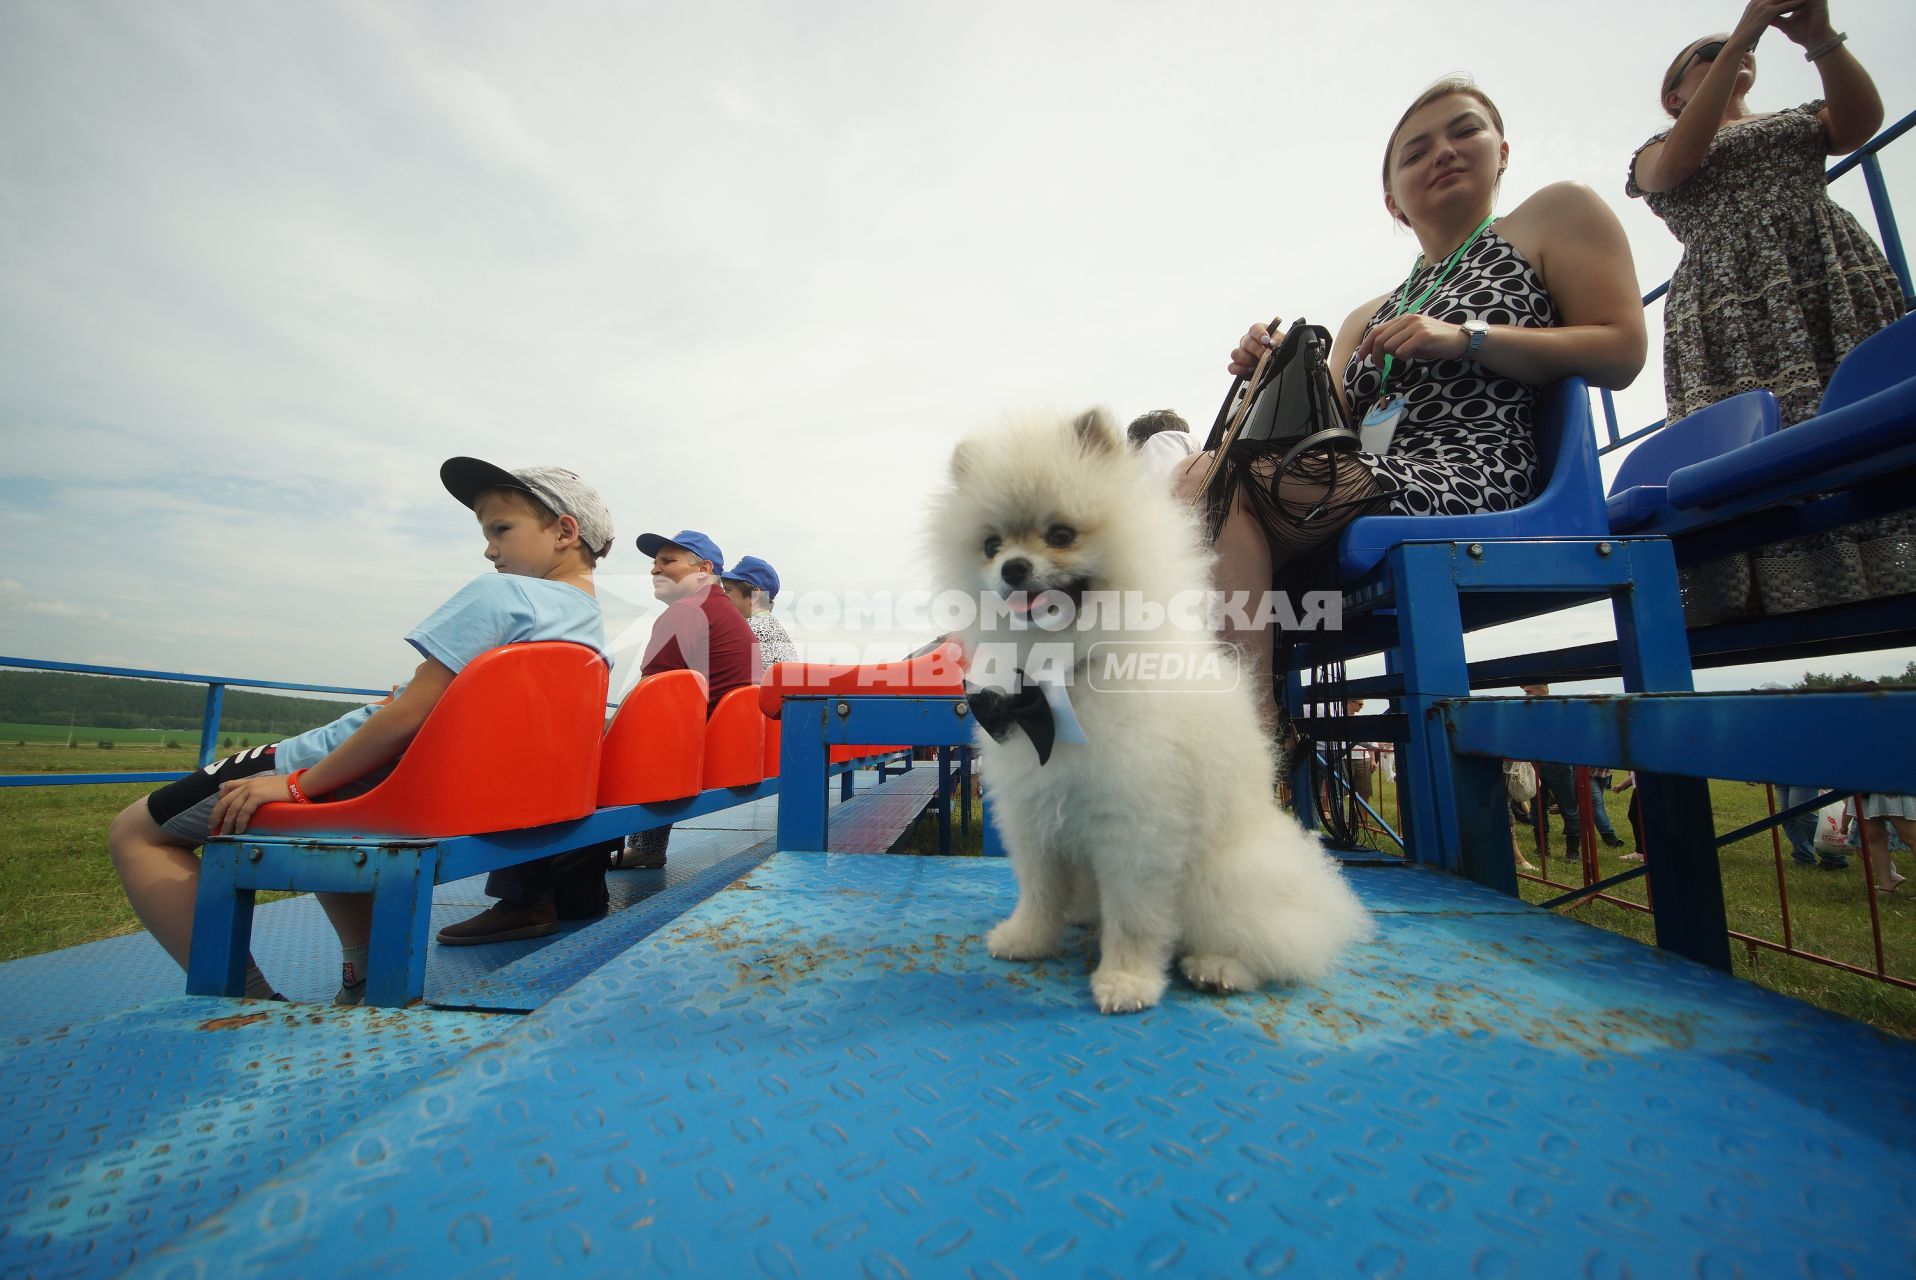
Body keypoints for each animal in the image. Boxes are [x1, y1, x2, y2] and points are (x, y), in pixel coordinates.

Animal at [923, 408, 1364, 1011]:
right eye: (990, 545)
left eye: (1061, 535)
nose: (1012, 567)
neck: (1062, 678)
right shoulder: (1034, 813)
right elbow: (1039, 889)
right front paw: (1028, 939)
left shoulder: (1137, 824)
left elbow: (1135, 916)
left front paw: (1126, 980)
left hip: (1222, 879)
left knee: (1278, 941)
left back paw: (1219, 967)